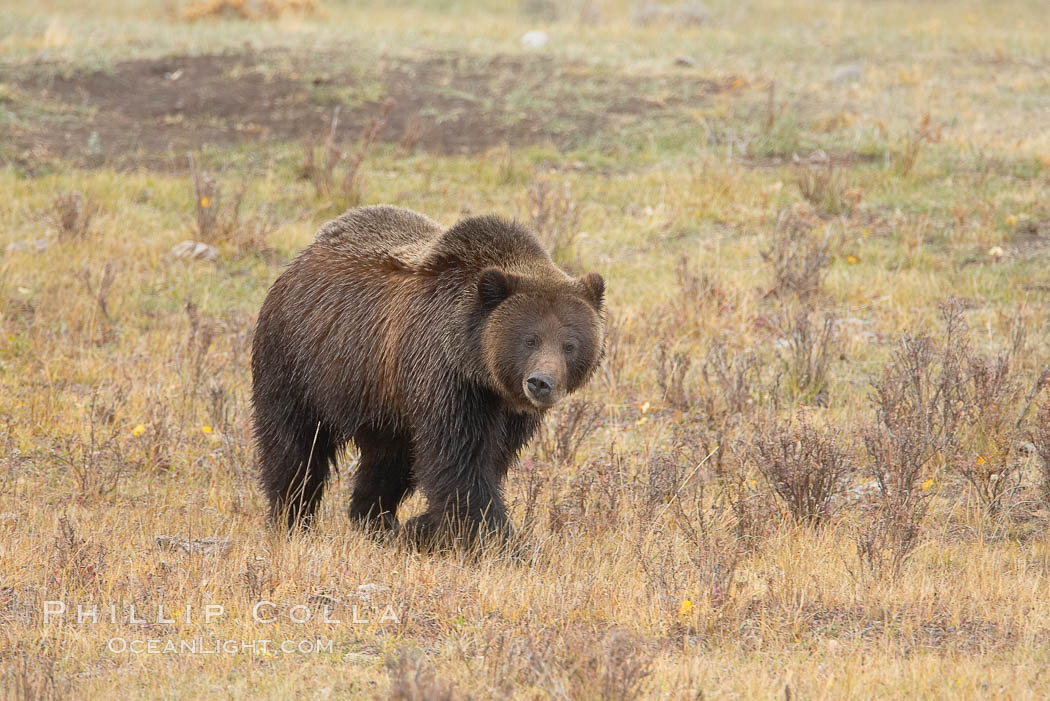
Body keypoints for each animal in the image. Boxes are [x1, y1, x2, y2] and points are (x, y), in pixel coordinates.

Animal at [251, 205, 605, 547]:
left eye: (570, 344)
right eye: (529, 339)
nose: (540, 383)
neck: (478, 366)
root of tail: (302, 258)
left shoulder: (508, 412)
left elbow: (490, 460)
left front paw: (422, 528)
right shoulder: (447, 380)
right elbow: (460, 464)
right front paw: (500, 542)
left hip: (383, 399)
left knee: (387, 463)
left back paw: (376, 520)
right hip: (300, 360)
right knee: (294, 445)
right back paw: (292, 518)